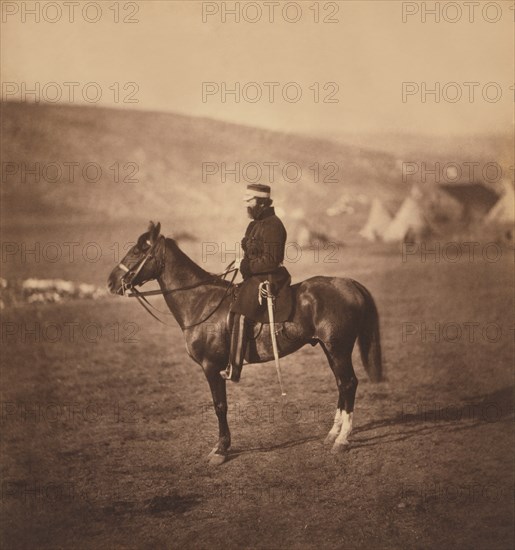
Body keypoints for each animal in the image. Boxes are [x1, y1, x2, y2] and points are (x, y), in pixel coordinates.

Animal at [108, 222, 382, 468]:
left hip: (339, 349)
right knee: (341, 384)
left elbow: (220, 406)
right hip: (330, 349)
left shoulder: (211, 367)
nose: (111, 282)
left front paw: (220, 450)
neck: (200, 302)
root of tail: (350, 283)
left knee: (349, 384)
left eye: (138, 251)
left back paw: (342, 440)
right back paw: (333, 434)